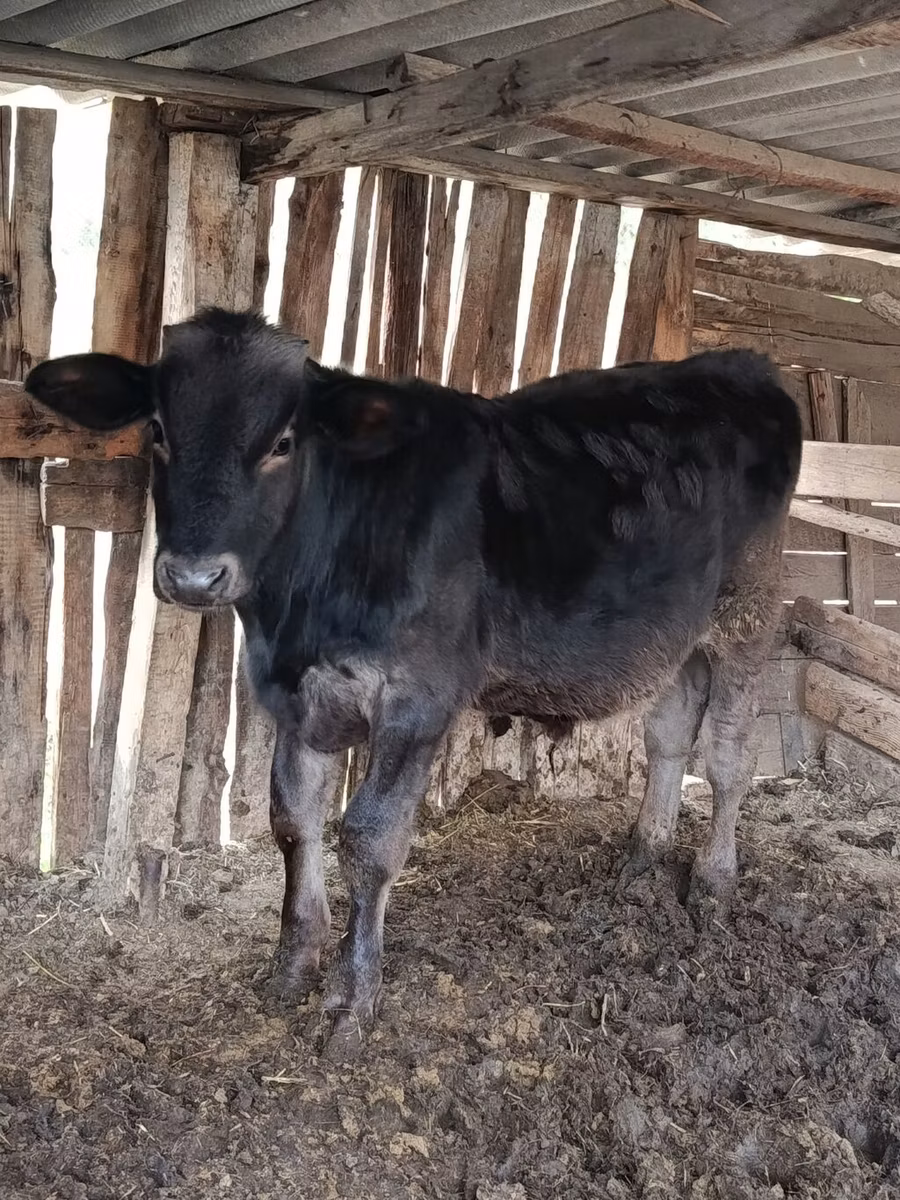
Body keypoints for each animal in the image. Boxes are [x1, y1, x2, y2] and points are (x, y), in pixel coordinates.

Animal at [26, 308, 802, 1051]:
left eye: (283, 442)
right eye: (158, 429)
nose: (192, 577)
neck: (304, 611)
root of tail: (741, 365)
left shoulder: (416, 701)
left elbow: (369, 841)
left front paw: (351, 999)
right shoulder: (296, 697)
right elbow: (293, 821)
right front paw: (292, 965)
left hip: (750, 613)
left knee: (727, 756)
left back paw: (712, 881)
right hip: (676, 634)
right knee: (669, 735)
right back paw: (643, 859)